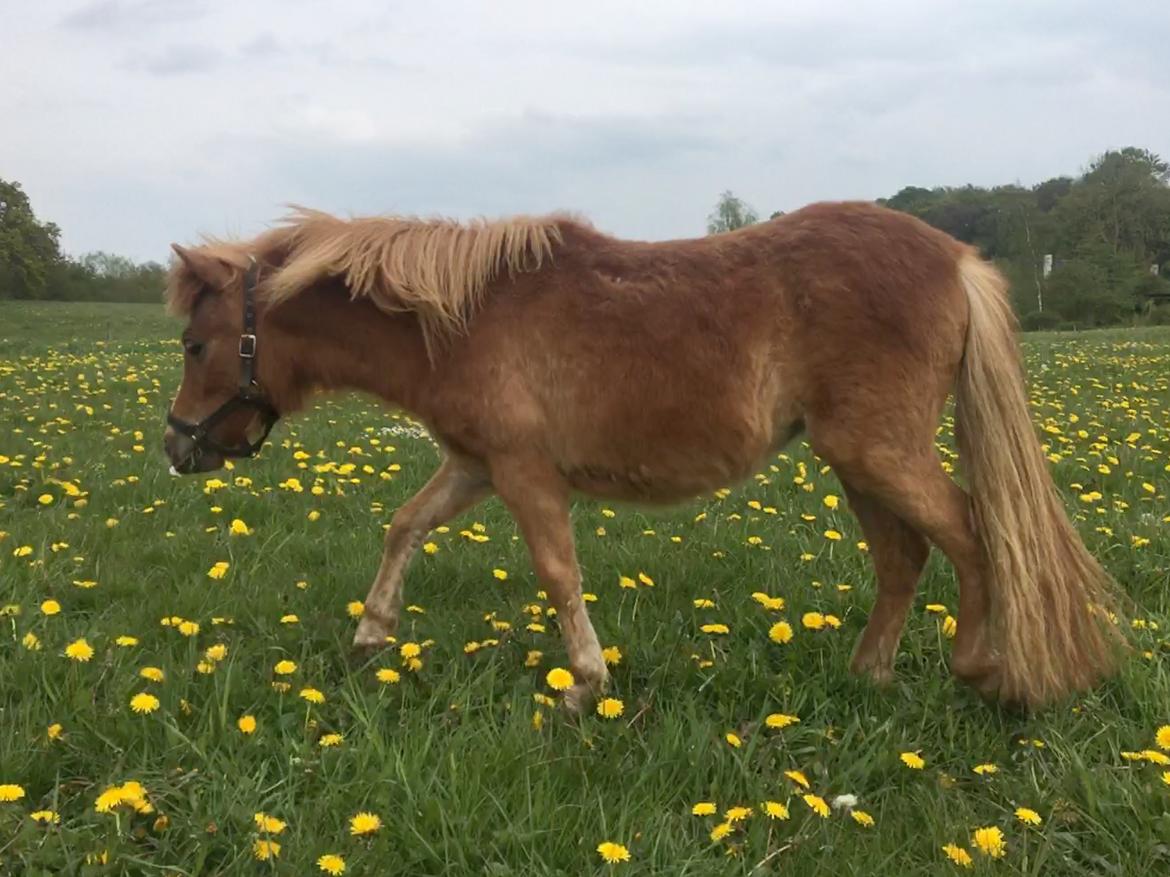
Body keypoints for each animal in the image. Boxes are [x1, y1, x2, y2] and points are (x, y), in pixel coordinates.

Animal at [160, 204, 1118, 715]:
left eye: (195, 343)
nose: (177, 445)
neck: (460, 319)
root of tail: (956, 259)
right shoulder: (475, 465)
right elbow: (404, 525)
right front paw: (371, 634)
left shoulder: (523, 472)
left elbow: (557, 571)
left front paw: (583, 685)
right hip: (859, 460)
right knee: (905, 556)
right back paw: (869, 674)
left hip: (877, 451)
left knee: (972, 536)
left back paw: (988, 671)